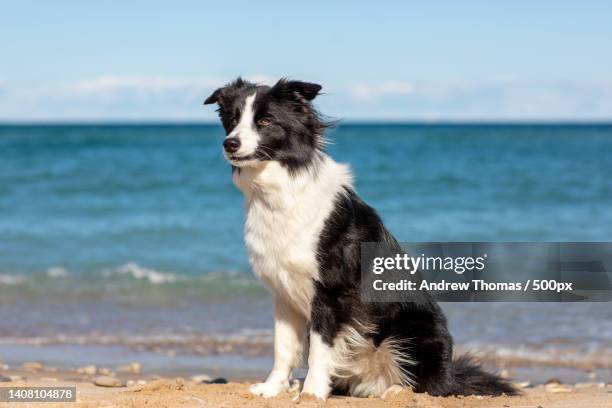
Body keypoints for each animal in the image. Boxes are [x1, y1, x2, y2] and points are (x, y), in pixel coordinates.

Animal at [204, 78, 516, 400]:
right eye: (233, 120)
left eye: (265, 121)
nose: (230, 143)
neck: (281, 191)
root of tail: (451, 374)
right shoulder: (283, 292)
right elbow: (283, 347)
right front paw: (272, 388)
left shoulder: (331, 292)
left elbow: (319, 349)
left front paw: (312, 393)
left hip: (412, 333)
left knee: (427, 385)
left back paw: (395, 391)